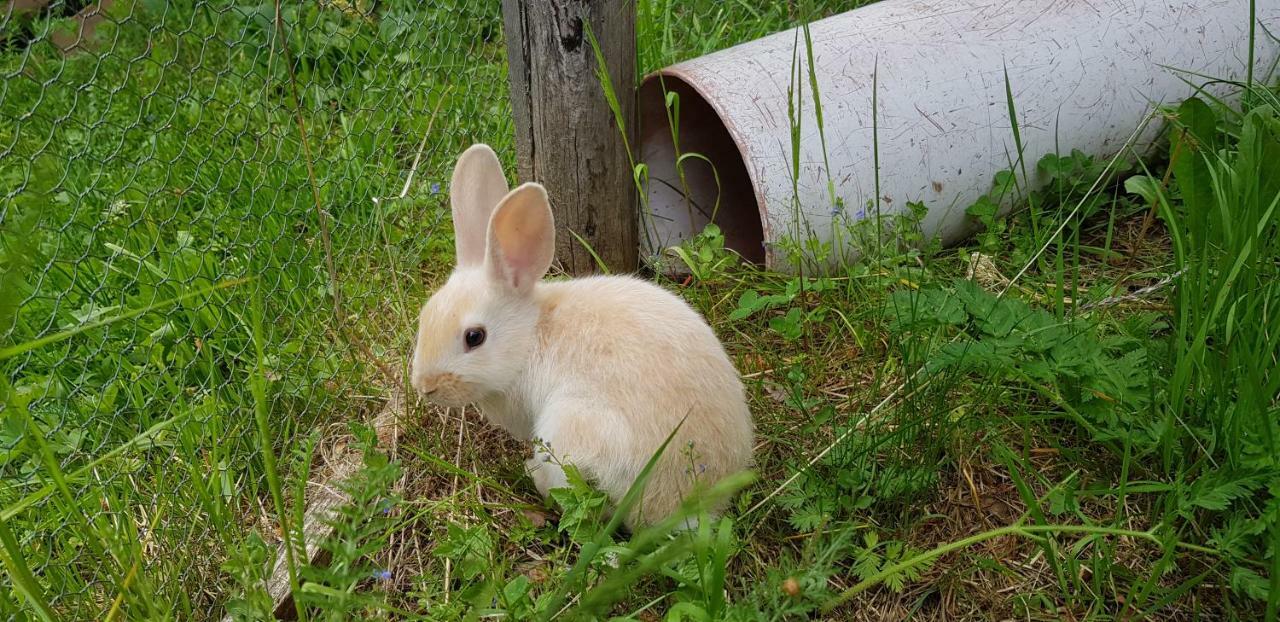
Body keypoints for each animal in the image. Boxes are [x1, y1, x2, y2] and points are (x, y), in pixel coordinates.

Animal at [409, 143, 752, 527]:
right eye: (425, 316)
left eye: (474, 337)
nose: (424, 386)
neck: (530, 338)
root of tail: (690, 506)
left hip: (569, 431)